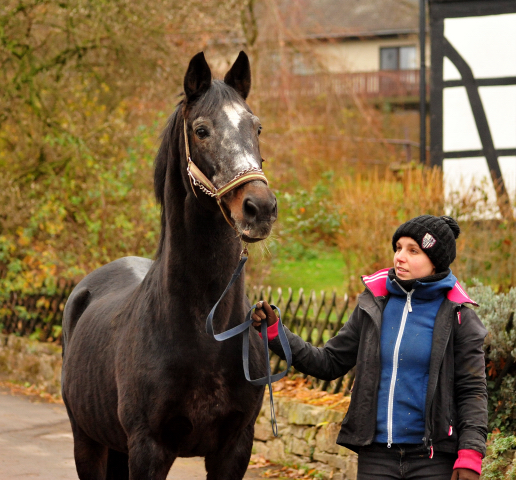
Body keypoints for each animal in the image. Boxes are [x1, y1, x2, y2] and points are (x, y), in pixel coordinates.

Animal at [61, 50, 278, 478]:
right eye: (201, 130)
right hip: (87, 443)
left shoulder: (235, 448)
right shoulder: (149, 449)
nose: (260, 208)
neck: (205, 335)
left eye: (257, 127)